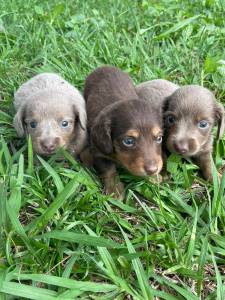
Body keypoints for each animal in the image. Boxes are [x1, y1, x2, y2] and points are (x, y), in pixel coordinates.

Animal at [84, 66, 163, 197]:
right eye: (128, 141)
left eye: (159, 138)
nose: (152, 170)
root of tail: (105, 66)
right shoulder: (99, 152)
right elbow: (108, 169)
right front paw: (114, 189)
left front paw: (154, 178)